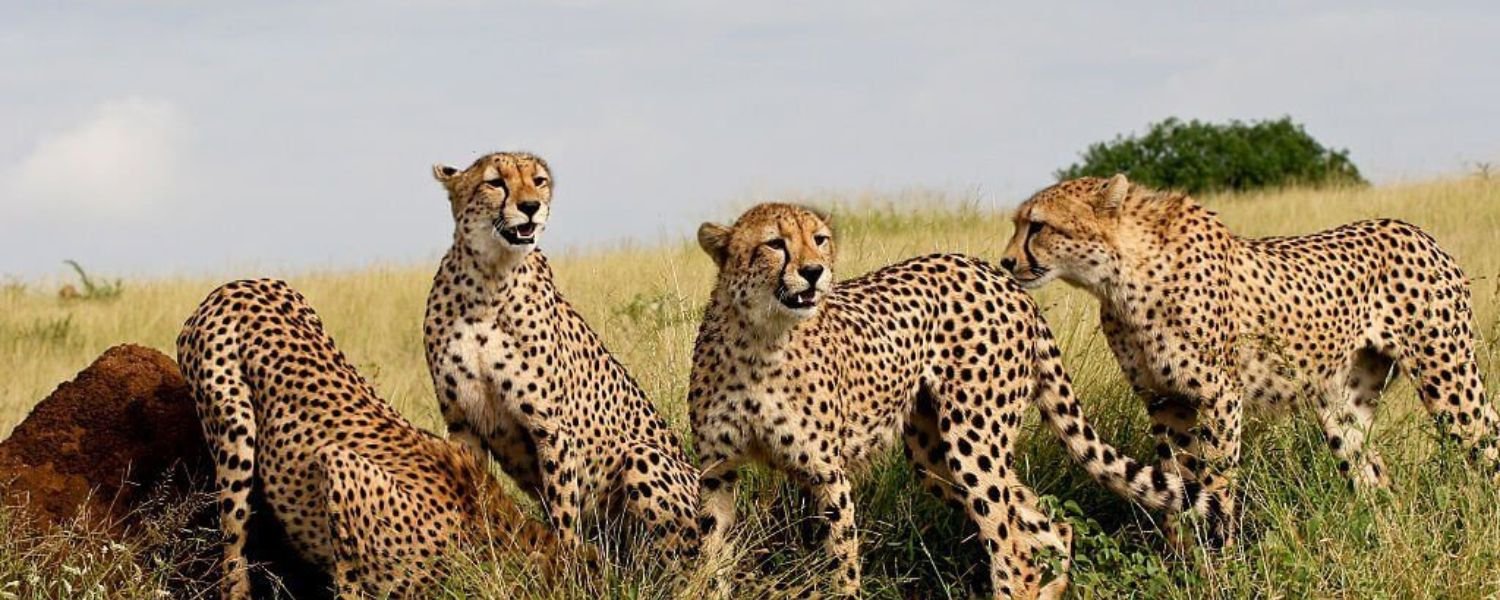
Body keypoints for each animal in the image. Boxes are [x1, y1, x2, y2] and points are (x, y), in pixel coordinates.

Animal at [689, 202, 1228, 599]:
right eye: (774, 244)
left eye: (818, 239)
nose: (815, 272)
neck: (760, 338)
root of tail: (1000, 276)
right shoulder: (717, 472)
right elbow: (710, 554)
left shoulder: (828, 476)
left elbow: (842, 565)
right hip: (934, 455)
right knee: (1046, 525)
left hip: (973, 439)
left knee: (1014, 549)